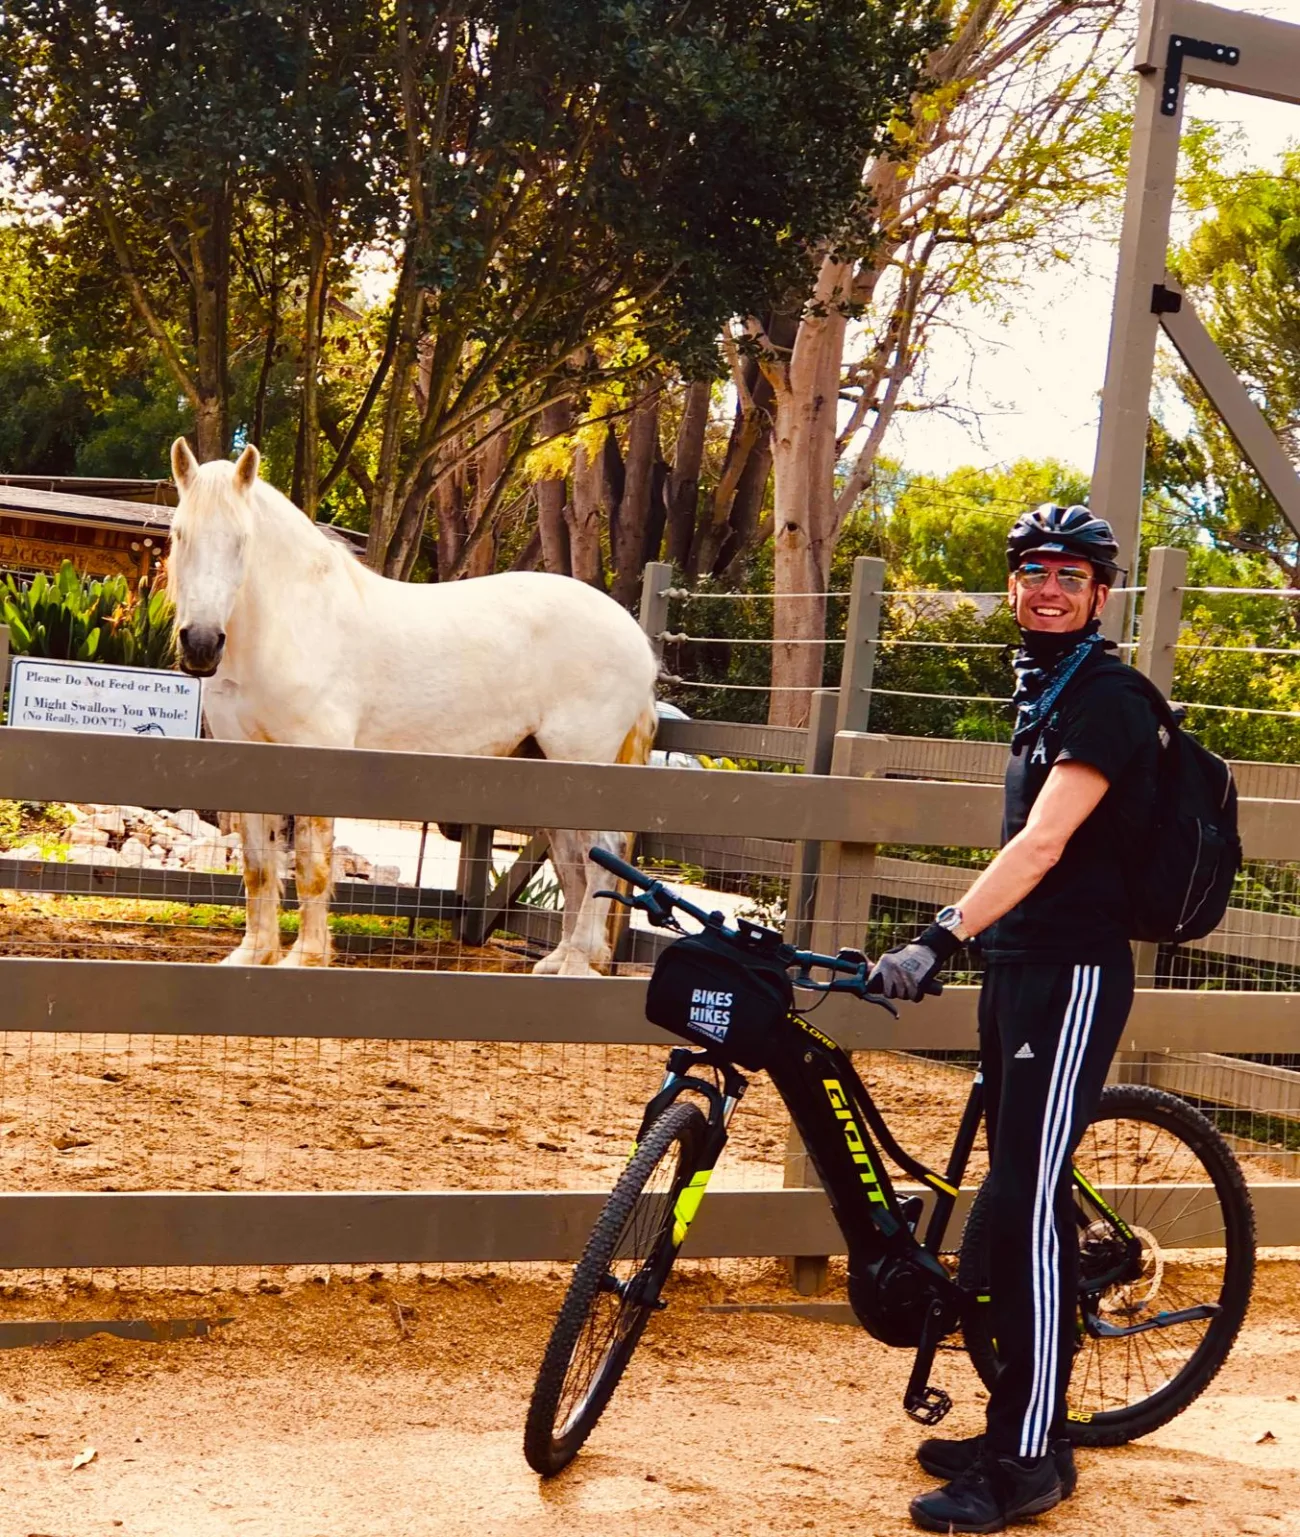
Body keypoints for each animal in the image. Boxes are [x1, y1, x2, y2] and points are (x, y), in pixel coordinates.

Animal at [166, 438, 659, 977]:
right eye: (179, 534)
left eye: (241, 541)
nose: (201, 644)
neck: (294, 625)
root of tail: (635, 636)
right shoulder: (248, 760)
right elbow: (258, 865)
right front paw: (254, 954)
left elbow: (313, 866)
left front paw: (307, 957)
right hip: (551, 771)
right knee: (574, 860)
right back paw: (560, 959)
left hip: (583, 763)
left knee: (602, 854)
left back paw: (580, 963)